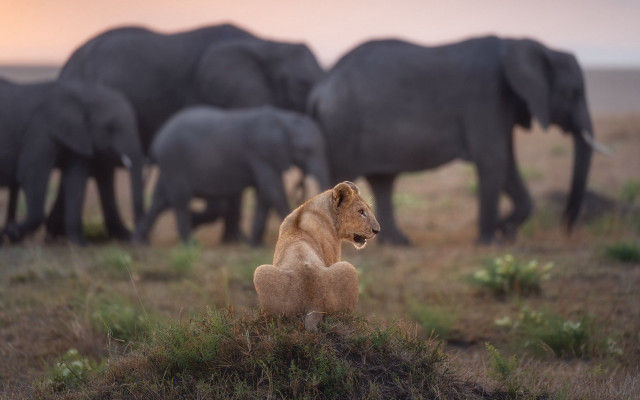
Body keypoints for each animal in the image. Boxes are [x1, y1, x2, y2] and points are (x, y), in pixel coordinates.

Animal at [0, 78, 144, 245]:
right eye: (109, 127)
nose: (135, 239)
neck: (85, 93)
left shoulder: (79, 133)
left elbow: (76, 180)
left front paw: (81, 244)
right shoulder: (41, 129)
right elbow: (31, 175)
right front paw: (11, 231)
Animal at [133, 105, 330, 245]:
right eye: (306, 150)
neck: (285, 120)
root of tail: (157, 140)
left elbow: (264, 195)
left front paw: (254, 244)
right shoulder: (263, 153)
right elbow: (272, 189)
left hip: (170, 164)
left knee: (160, 200)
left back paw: (140, 242)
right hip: (174, 160)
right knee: (179, 200)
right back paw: (190, 244)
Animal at [309, 36, 609, 245]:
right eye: (573, 92)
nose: (567, 228)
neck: (520, 45)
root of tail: (320, 87)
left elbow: (506, 163)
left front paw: (507, 231)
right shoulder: (486, 95)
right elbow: (493, 160)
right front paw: (492, 243)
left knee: (383, 181)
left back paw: (400, 244)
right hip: (341, 128)